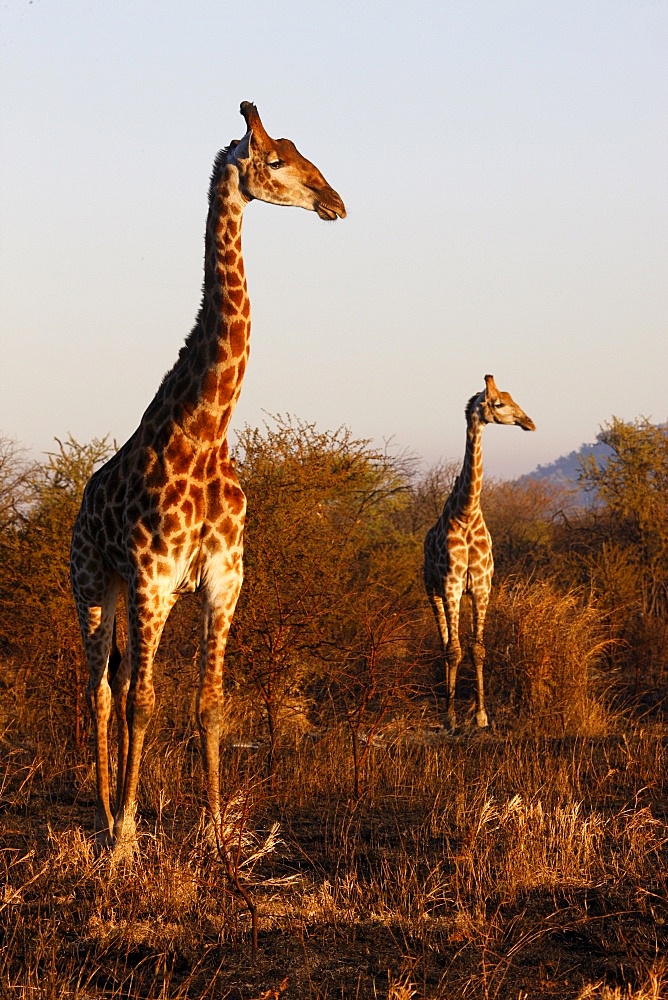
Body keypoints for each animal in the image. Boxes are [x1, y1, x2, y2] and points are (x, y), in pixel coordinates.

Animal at [70, 101, 348, 848]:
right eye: (274, 160)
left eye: (301, 150)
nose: (335, 202)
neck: (206, 430)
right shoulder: (153, 576)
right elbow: (145, 702)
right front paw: (125, 837)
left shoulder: (224, 579)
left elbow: (212, 703)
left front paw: (219, 828)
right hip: (93, 582)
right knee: (102, 688)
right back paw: (105, 810)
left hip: (126, 589)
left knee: (118, 684)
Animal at [422, 374, 536, 728]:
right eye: (498, 403)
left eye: (513, 398)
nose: (529, 423)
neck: (467, 511)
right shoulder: (451, 584)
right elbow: (454, 650)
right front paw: (451, 717)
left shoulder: (482, 586)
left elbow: (478, 650)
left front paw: (482, 714)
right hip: (432, 590)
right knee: (445, 642)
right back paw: (445, 705)